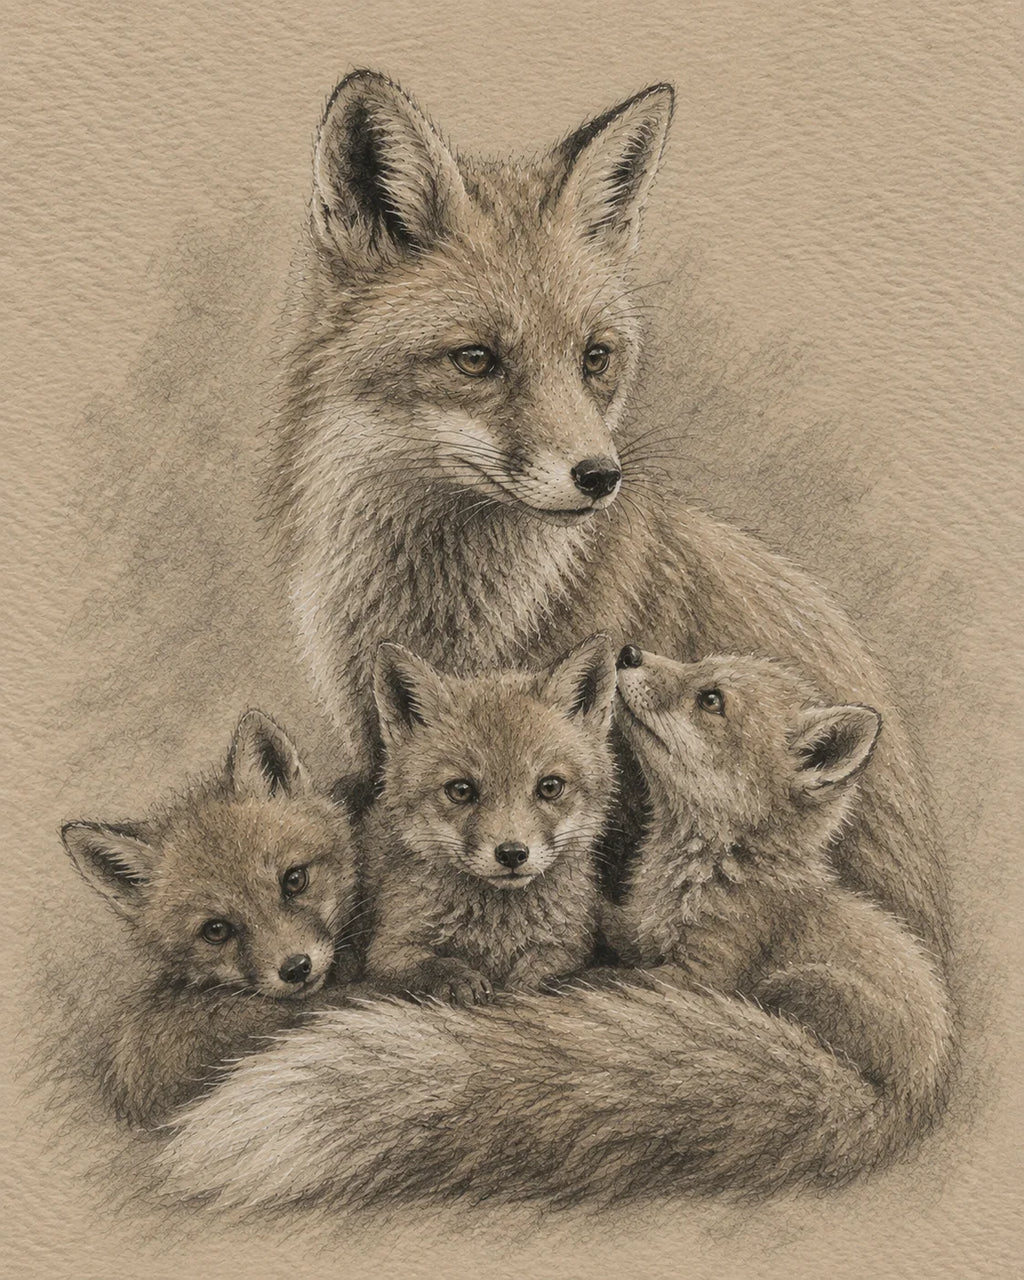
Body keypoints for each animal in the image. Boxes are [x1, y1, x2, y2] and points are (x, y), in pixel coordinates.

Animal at [362, 636, 616, 1003]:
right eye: (461, 790)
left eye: (550, 787)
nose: (512, 853)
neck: (497, 932)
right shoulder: (389, 949)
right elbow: (435, 965)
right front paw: (460, 979)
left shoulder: (570, 945)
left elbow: (541, 971)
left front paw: (521, 989)